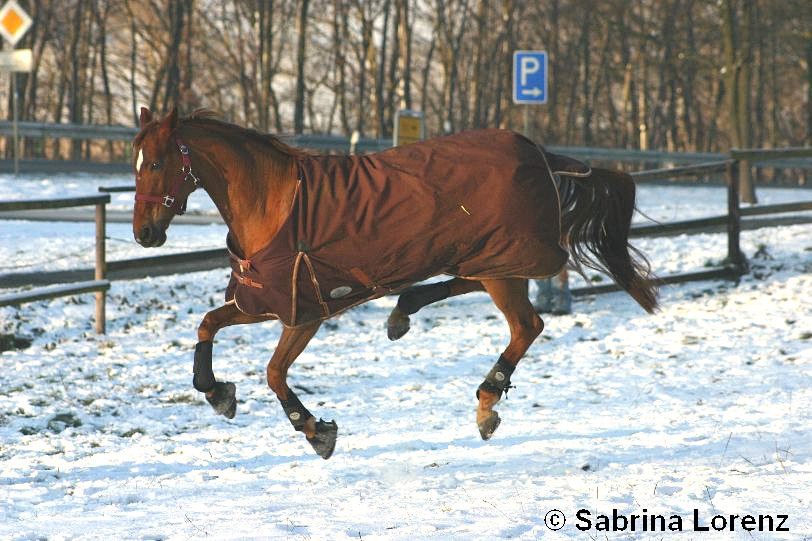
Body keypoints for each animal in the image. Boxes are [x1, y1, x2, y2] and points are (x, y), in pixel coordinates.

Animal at [130, 107, 656, 458]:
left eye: (155, 162)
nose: (144, 234)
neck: (275, 203)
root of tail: (540, 152)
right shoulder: (265, 300)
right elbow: (207, 324)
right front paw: (217, 393)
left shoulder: (305, 311)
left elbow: (274, 372)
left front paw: (317, 432)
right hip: (488, 257)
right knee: (467, 286)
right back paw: (403, 311)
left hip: (503, 262)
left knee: (527, 326)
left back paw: (486, 404)